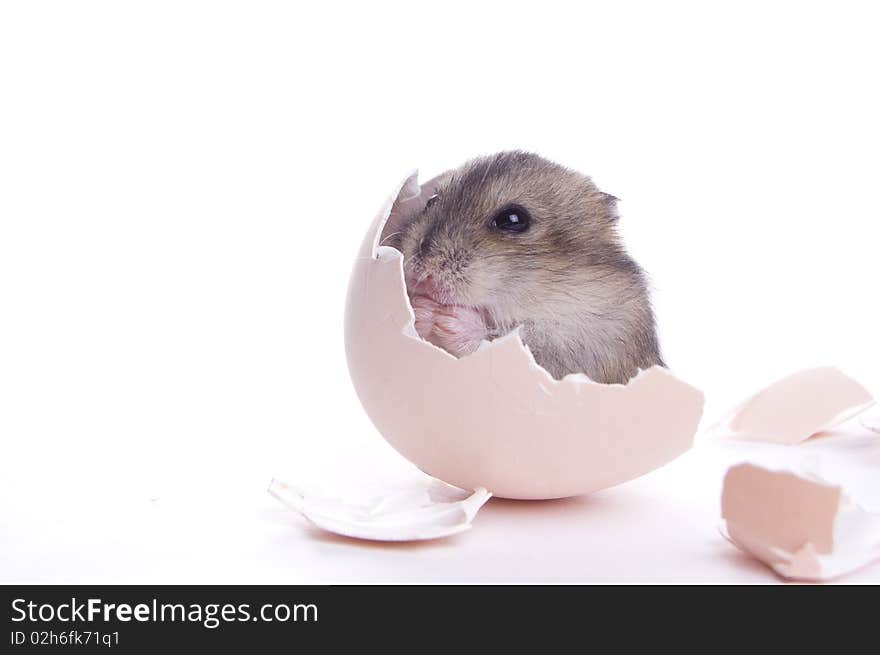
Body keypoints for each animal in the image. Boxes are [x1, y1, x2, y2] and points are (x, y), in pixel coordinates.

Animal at [396, 151, 664, 384]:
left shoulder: (592, 351)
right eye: (430, 201)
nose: (421, 275)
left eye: (513, 219)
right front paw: (419, 307)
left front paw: (441, 316)